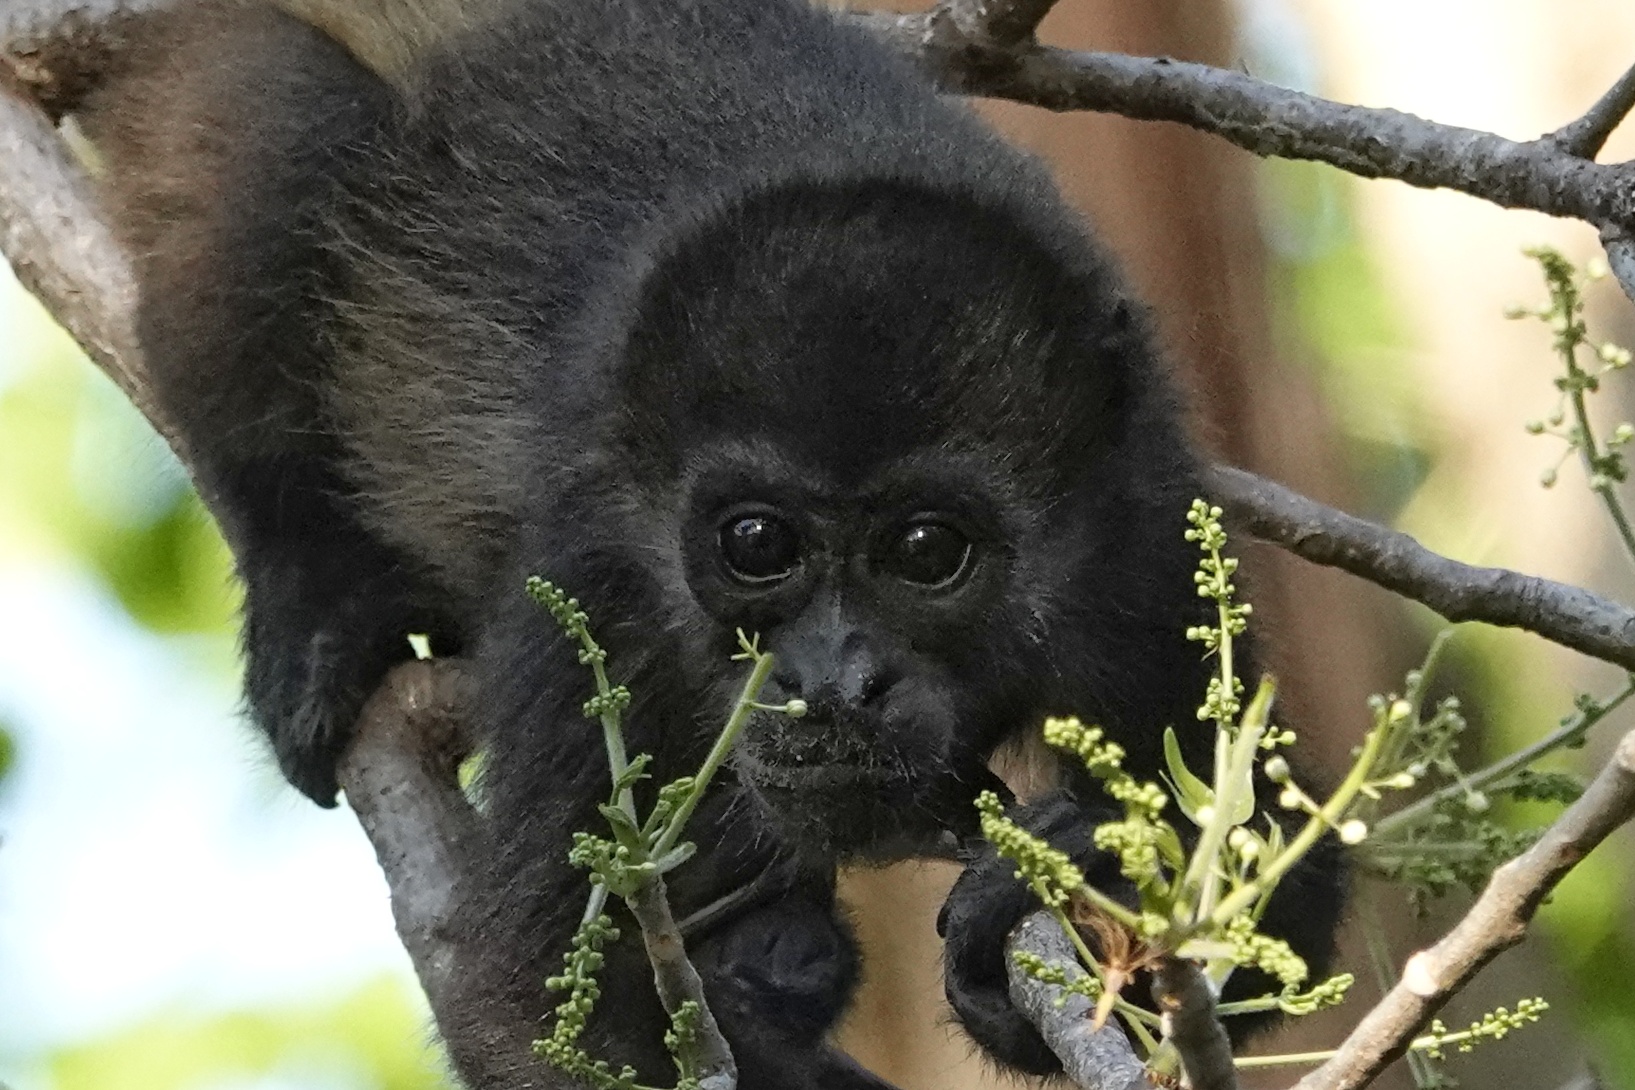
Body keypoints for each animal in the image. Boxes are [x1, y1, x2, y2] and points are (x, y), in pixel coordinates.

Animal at [69, 0, 1346, 1085]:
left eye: (927, 548)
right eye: (757, 543)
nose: (834, 678)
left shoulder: (1143, 541)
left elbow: (1284, 888)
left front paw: (1076, 863)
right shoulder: (594, 585)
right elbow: (536, 999)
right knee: (279, 159)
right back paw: (319, 603)